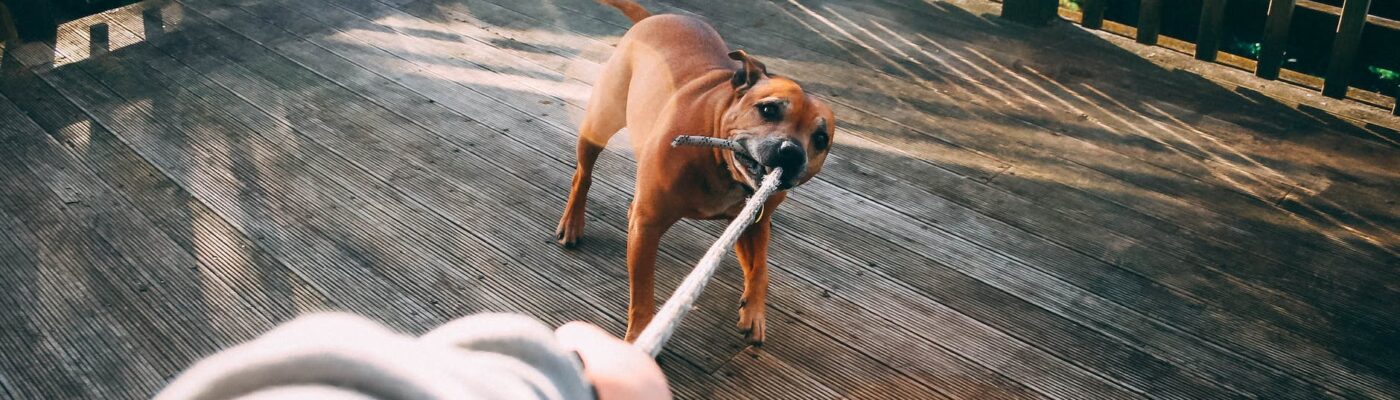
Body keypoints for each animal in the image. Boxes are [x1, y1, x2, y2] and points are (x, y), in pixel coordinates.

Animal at [557, 0, 834, 344]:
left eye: (821, 139)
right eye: (768, 109)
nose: (792, 152)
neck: (723, 169)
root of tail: (654, 18)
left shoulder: (752, 224)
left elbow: (761, 269)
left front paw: (754, 311)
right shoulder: (648, 226)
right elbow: (643, 291)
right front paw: (639, 336)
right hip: (600, 122)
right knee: (582, 175)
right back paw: (572, 222)